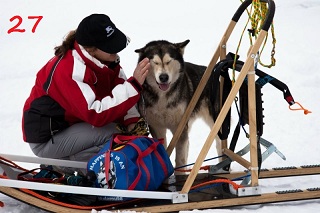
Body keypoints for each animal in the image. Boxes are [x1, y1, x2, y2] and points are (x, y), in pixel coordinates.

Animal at [134, 39, 221, 168]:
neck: (163, 98)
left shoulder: (179, 128)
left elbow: (180, 159)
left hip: (215, 120)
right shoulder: (157, 127)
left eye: (169, 61)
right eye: (155, 62)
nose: (163, 77)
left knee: (220, 142)